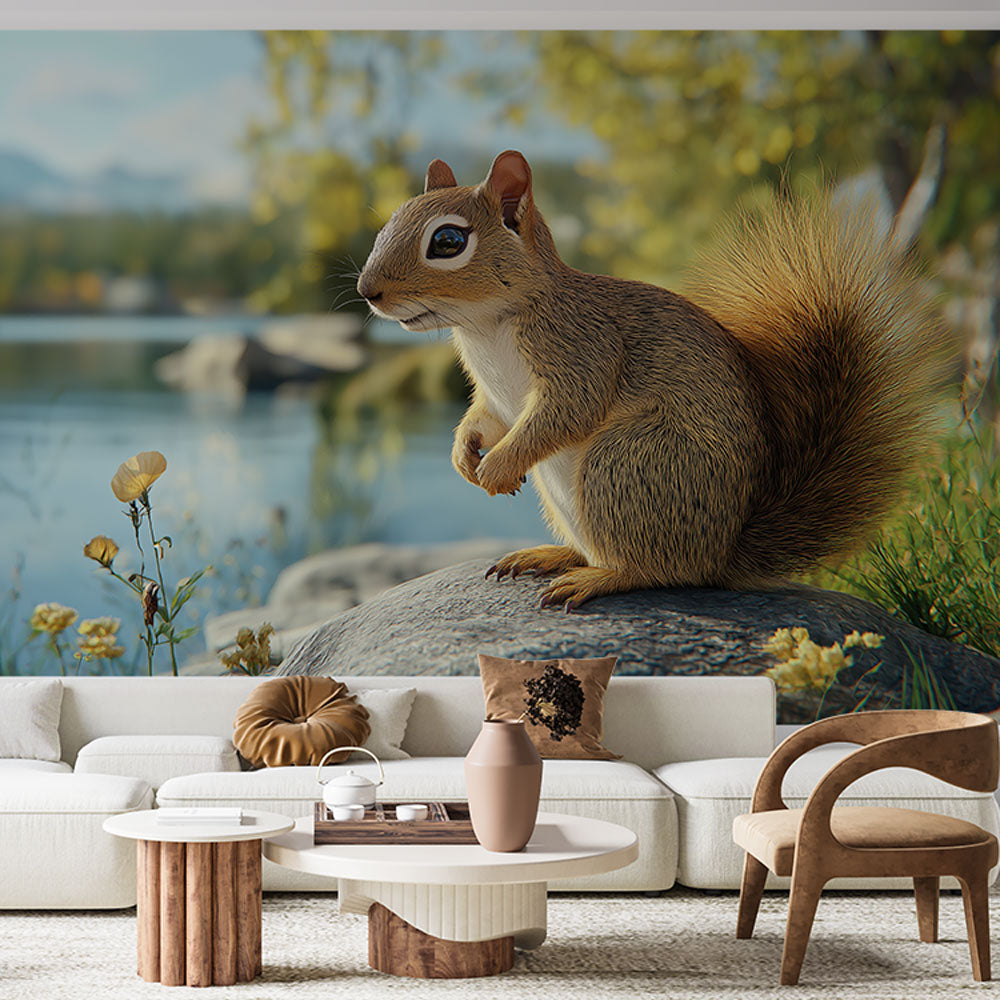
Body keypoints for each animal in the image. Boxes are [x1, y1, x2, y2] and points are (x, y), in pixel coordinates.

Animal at [357, 150, 946, 610]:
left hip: (628, 463)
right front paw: (465, 454)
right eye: (389, 223)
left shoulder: (583, 349)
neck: (485, 324)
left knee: (657, 571)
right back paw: (549, 555)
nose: (368, 291)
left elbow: (568, 410)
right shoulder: (495, 395)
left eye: (448, 241)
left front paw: (498, 465)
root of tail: (722, 553)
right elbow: (484, 417)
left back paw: (595, 579)